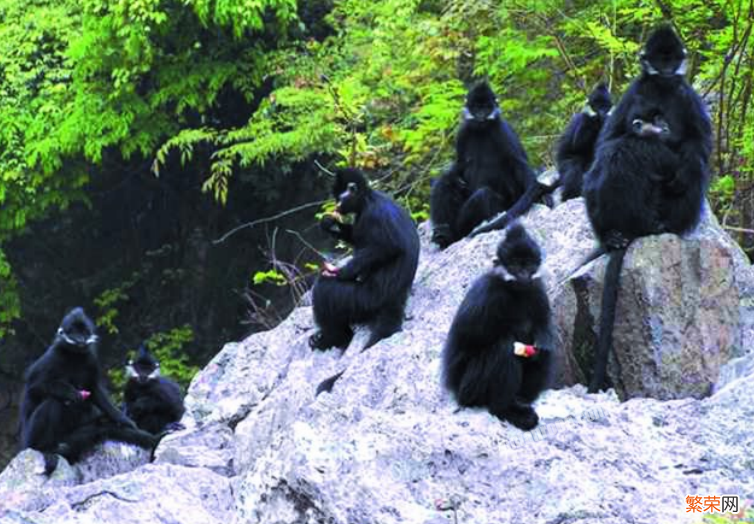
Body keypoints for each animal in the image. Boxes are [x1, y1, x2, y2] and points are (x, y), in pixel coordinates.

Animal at [20, 308, 157, 474]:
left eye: (84, 332)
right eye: (74, 332)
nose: (80, 339)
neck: (74, 356)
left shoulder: (90, 359)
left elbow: (95, 390)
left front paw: (124, 420)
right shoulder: (52, 356)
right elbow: (34, 388)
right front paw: (70, 392)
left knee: (102, 427)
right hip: (30, 437)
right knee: (53, 402)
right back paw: (44, 449)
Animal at [308, 169, 420, 356]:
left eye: (339, 198)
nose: (337, 207)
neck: (368, 200)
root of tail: (396, 297)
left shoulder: (373, 215)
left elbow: (389, 247)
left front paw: (343, 272)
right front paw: (330, 223)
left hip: (363, 300)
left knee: (323, 290)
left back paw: (334, 338)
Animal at [428, 81, 540, 246]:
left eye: (486, 107)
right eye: (476, 108)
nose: (481, 115)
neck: (482, 130)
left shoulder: (502, 130)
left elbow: (518, 164)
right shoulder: (463, 131)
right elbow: (458, 167)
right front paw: (452, 175)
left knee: (483, 195)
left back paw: (454, 234)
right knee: (444, 182)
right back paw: (444, 234)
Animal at [440, 223, 552, 432]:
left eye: (528, 265)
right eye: (515, 266)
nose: (523, 274)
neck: (515, 292)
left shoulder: (537, 289)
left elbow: (544, 324)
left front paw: (540, 342)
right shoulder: (487, 292)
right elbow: (469, 335)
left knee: (547, 353)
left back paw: (522, 399)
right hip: (470, 388)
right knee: (503, 348)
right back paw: (506, 410)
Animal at [580, 25, 712, 392]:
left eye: (671, 58)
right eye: (659, 59)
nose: (666, 69)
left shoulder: (686, 96)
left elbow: (699, 148)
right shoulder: (633, 94)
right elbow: (608, 140)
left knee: (688, 168)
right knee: (611, 156)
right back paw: (611, 236)